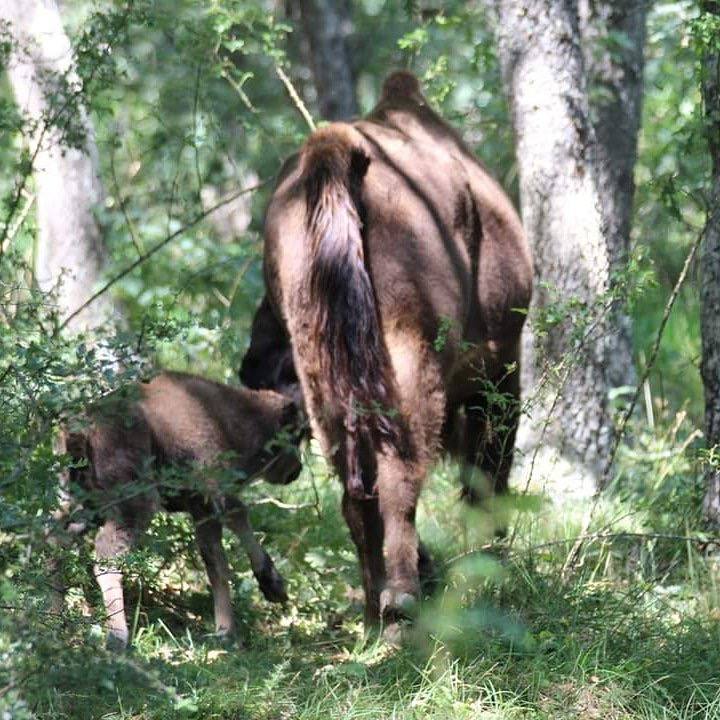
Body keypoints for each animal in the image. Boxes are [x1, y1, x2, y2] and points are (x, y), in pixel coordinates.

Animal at [52, 374, 300, 648]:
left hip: (79, 502)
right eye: (296, 435)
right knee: (106, 556)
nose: (297, 469)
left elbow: (218, 552)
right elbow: (225, 545)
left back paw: (54, 620)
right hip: (135, 504)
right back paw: (118, 638)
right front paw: (232, 625)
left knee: (55, 540)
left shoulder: (200, 504)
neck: (231, 416)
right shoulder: (211, 495)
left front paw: (266, 592)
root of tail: (82, 427)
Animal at [240, 70, 528, 628]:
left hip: (326, 368)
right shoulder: (502, 365)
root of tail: (336, 150)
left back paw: (377, 612)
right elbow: (488, 473)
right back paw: (401, 602)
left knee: (358, 494)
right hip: (409, 355)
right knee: (400, 476)